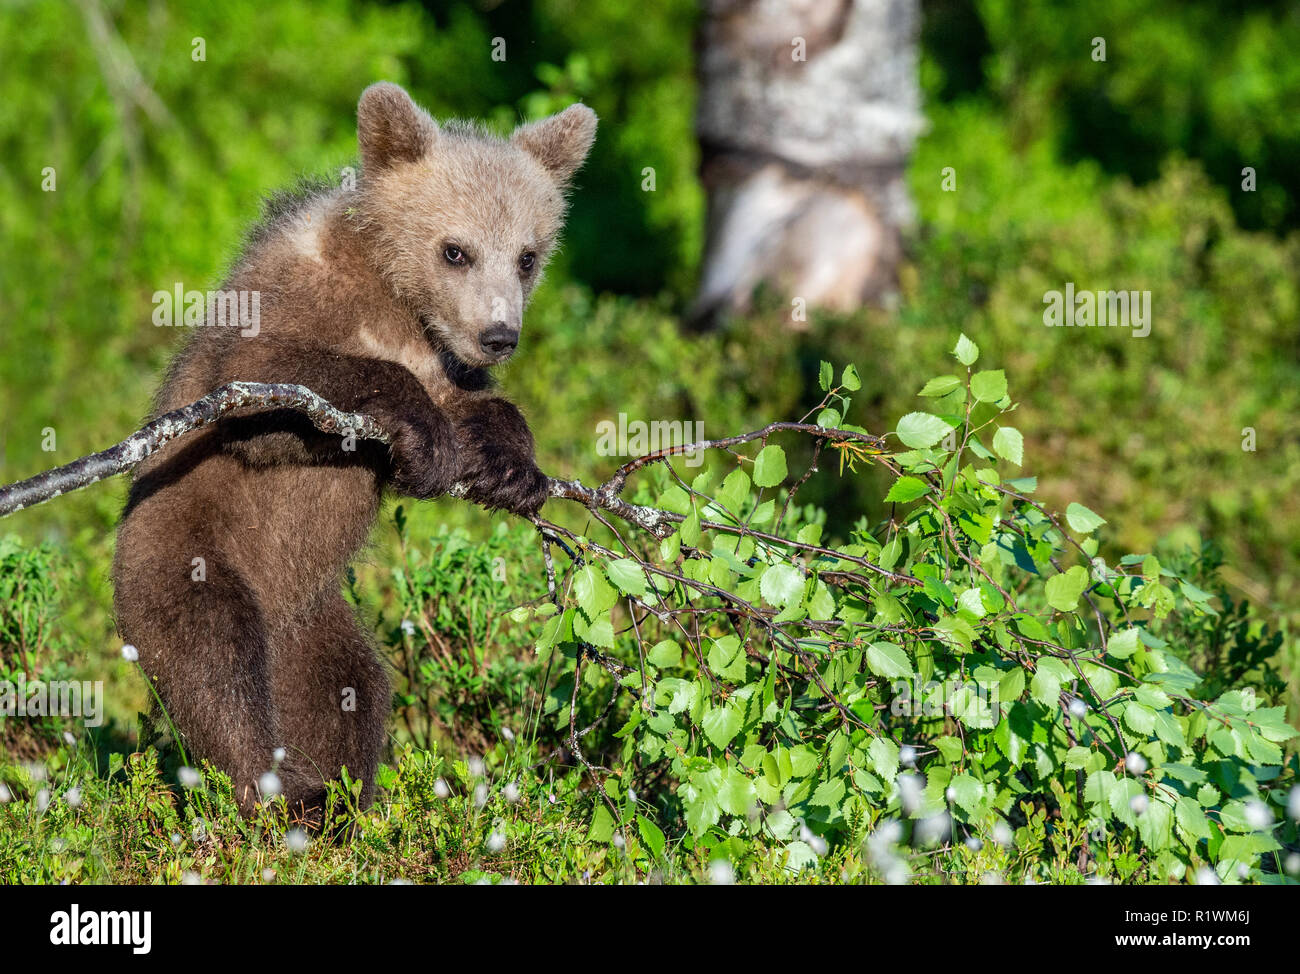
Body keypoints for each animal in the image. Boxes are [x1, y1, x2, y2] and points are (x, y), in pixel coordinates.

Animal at [112, 82, 597, 824]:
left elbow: (476, 406)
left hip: (311, 616)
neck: (391, 294)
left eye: (528, 255)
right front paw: (423, 434)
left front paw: (510, 464)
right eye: (455, 250)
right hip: (181, 551)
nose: (499, 335)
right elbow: (267, 390)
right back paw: (271, 794)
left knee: (352, 686)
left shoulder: (438, 354)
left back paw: (337, 800)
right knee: (214, 662)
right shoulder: (286, 309)